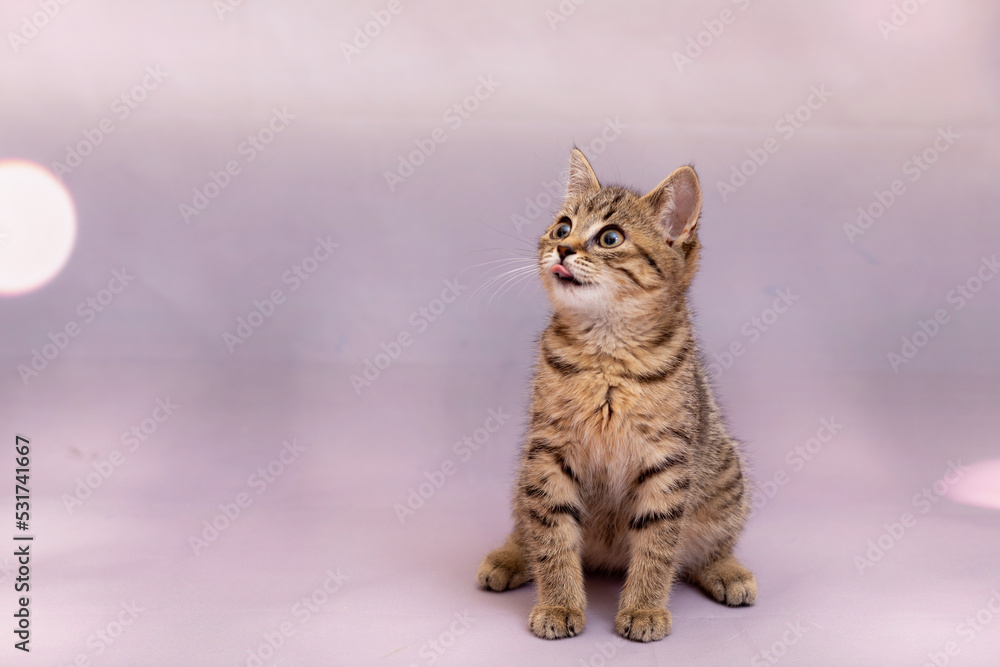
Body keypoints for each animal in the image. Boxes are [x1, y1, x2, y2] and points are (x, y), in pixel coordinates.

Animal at [478, 147, 756, 640]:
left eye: (610, 238)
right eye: (563, 227)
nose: (562, 248)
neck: (607, 351)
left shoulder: (668, 462)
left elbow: (658, 545)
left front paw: (644, 608)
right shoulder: (547, 453)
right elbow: (550, 532)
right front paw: (559, 603)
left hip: (726, 475)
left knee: (708, 547)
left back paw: (726, 570)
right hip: (523, 475)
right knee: (527, 525)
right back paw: (509, 558)